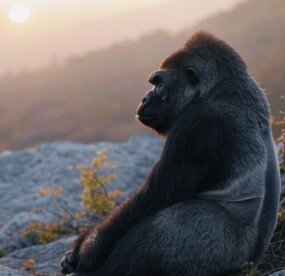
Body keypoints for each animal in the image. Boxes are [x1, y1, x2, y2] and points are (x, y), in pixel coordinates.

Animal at [60, 31, 280, 276]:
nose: (144, 98)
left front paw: (89, 248)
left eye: (159, 84)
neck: (219, 90)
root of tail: (251, 264)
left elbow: (153, 198)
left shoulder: (197, 124)